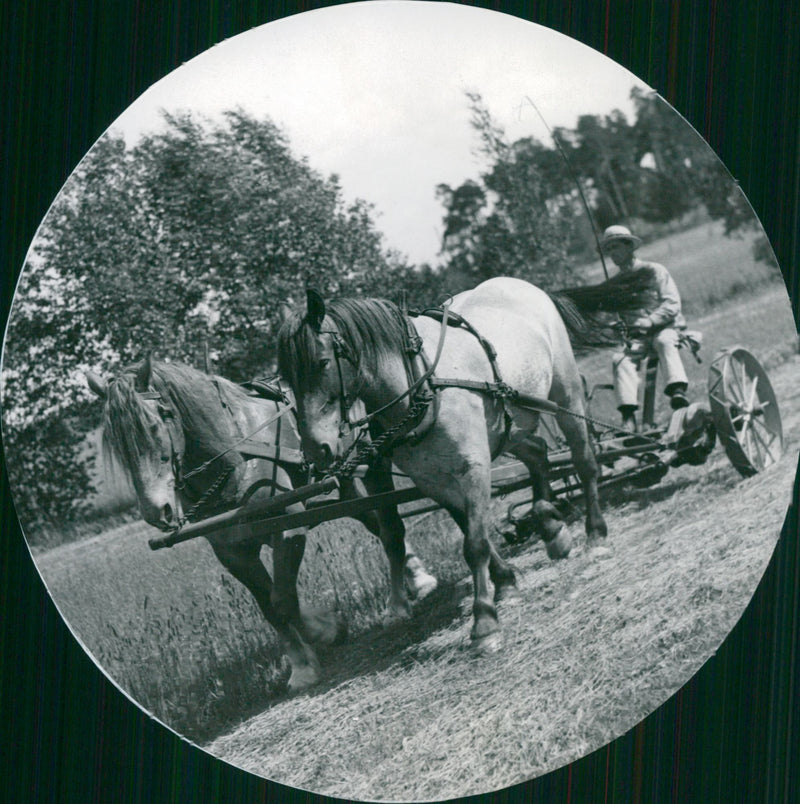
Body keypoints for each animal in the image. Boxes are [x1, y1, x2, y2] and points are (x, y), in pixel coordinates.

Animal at [86, 358, 438, 692]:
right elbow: (269, 607)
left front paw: (325, 631)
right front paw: (303, 661)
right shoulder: (233, 553)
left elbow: (283, 601)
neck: (236, 456)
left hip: (375, 459)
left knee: (389, 527)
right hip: (346, 479)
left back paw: (407, 590)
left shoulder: (288, 530)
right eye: (118, 445)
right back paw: (416, 575)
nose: (157, 510)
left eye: (153, 426)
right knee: (375, 522)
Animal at [278, 276, 636, 652]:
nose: (316, 449)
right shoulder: (433, 479)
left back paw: (595, 534)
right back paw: (551, 528)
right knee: (538, 453)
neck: (421, 383)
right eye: (285, 377)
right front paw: (505, 583)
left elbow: (475, 543)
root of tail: (521, 284)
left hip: (564, 395)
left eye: (321, 363)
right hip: (511, 425)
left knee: (584, 461)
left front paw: (485, 621)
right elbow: (470, 530)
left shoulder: (472, 468)